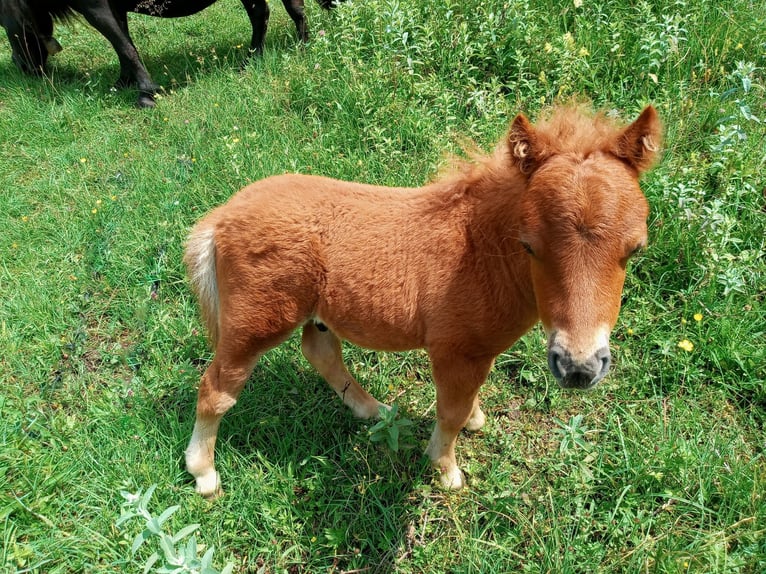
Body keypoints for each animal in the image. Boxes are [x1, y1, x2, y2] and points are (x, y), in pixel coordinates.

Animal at [0, 0, 336, 107]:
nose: (23, 68)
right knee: (272, 13)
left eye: (3, 23)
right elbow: (125, 44)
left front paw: (146, 95)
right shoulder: (114, 7)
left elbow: (123, 45)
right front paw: (123, 82)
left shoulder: (96, 7)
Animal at [184, 106, 660, 498]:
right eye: (529, 246)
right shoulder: (455, 350)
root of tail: (221, 217)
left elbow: (466, 403)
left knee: (320, 350)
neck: (478, 250)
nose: (579, 368)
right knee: (216, 387)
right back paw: (204, 473)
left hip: (313, 316)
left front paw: (474, 420)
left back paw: (373, 410)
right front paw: (446, 470)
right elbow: (449, 413)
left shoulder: (475, 354)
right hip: (256, 322)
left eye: (635, 249)